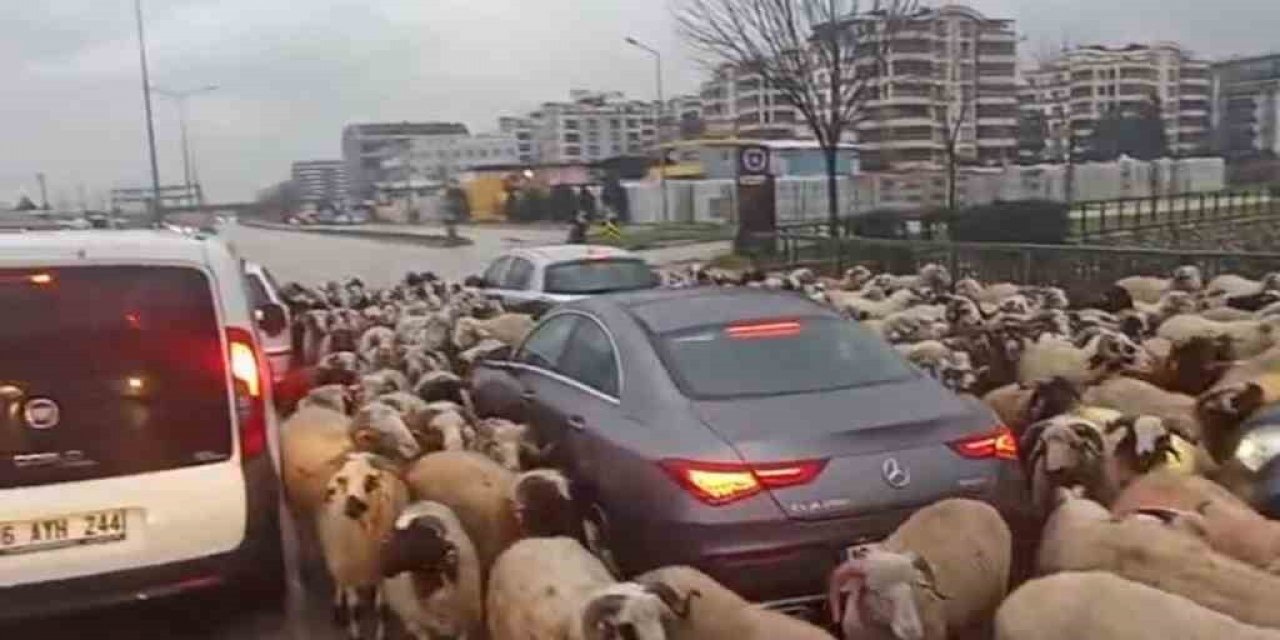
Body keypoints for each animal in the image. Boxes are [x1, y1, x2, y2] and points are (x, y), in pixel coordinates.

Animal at [313, 453, 404, 637]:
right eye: (343, 480)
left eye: (370, 481)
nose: (353, 506)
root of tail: (360, 453)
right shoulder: (348, 571)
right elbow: (355, 610)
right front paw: (355, 633)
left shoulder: (381, 571)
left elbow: (381, 609)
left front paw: (380, 635)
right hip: (335, 559)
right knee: (338, 582)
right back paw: (338, 609)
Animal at [378, 499, 483, 640]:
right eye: (400, 538)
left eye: (430, 546)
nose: (386, 568)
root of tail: (420, 502)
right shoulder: (417, 625)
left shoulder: (466, 623)